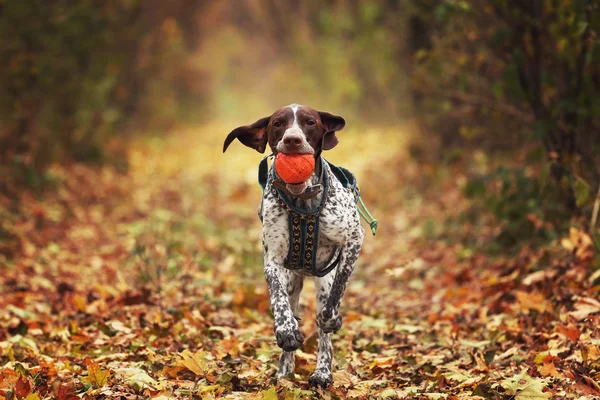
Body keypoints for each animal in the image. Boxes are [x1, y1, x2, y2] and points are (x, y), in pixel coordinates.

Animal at [223, 103, 364, 388]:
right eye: (278, 123)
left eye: (310, 122)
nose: (292, 140)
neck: (303, 203)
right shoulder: (273, 262)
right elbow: (278, 299)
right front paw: (287, 332)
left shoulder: (353, 242)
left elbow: (336, 296)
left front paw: (331, 320)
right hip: (292, 280)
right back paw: (284, 375)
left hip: (322, 281)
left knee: (324, 333)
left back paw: (322, 372)